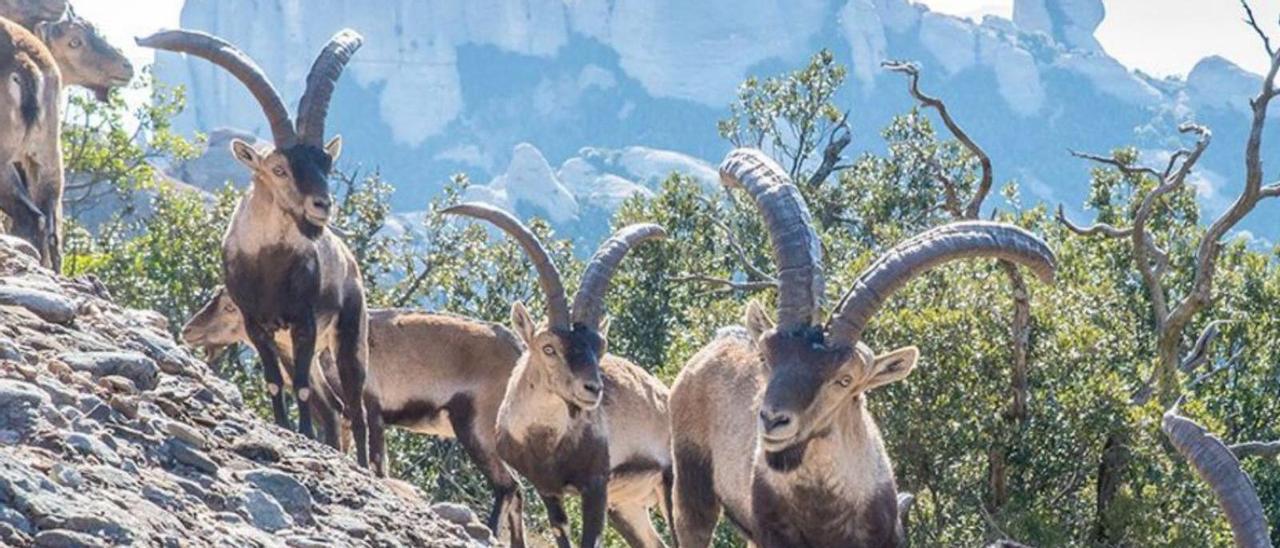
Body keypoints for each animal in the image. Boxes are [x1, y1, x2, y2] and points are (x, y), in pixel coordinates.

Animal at [138, 29, 384, 476]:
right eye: (279, 169)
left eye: (326, 163)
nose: (322, 205)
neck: (269, 267)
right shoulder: (257, 325)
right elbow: (275, 383)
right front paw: (285, 429)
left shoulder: (304, 322)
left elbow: (300, 389)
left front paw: (302, 435)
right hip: (294, 346)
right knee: (332, 404)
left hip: (348, 336)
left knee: (353, 409)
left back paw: (358, 464)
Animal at [183, 289, 532, 545]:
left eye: (230, 306)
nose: (189, 330)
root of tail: (520, 349)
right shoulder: (345, 420)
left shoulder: (370, 411)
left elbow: (375, 464)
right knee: (517, 491)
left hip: (476, 427)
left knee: (507, 487)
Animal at [445, 203, 675, 548]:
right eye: (548, 348)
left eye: (601, 347)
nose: (593, 389)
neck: (547, 443)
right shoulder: (549, 490)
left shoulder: (596, 484)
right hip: (627, 506)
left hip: (671, 485)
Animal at [665, 147, 1054, 545]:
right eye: (767, 357)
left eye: (845, 380)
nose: (773, 419)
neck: (824, 513)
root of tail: (717, 343)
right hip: (692, 487)